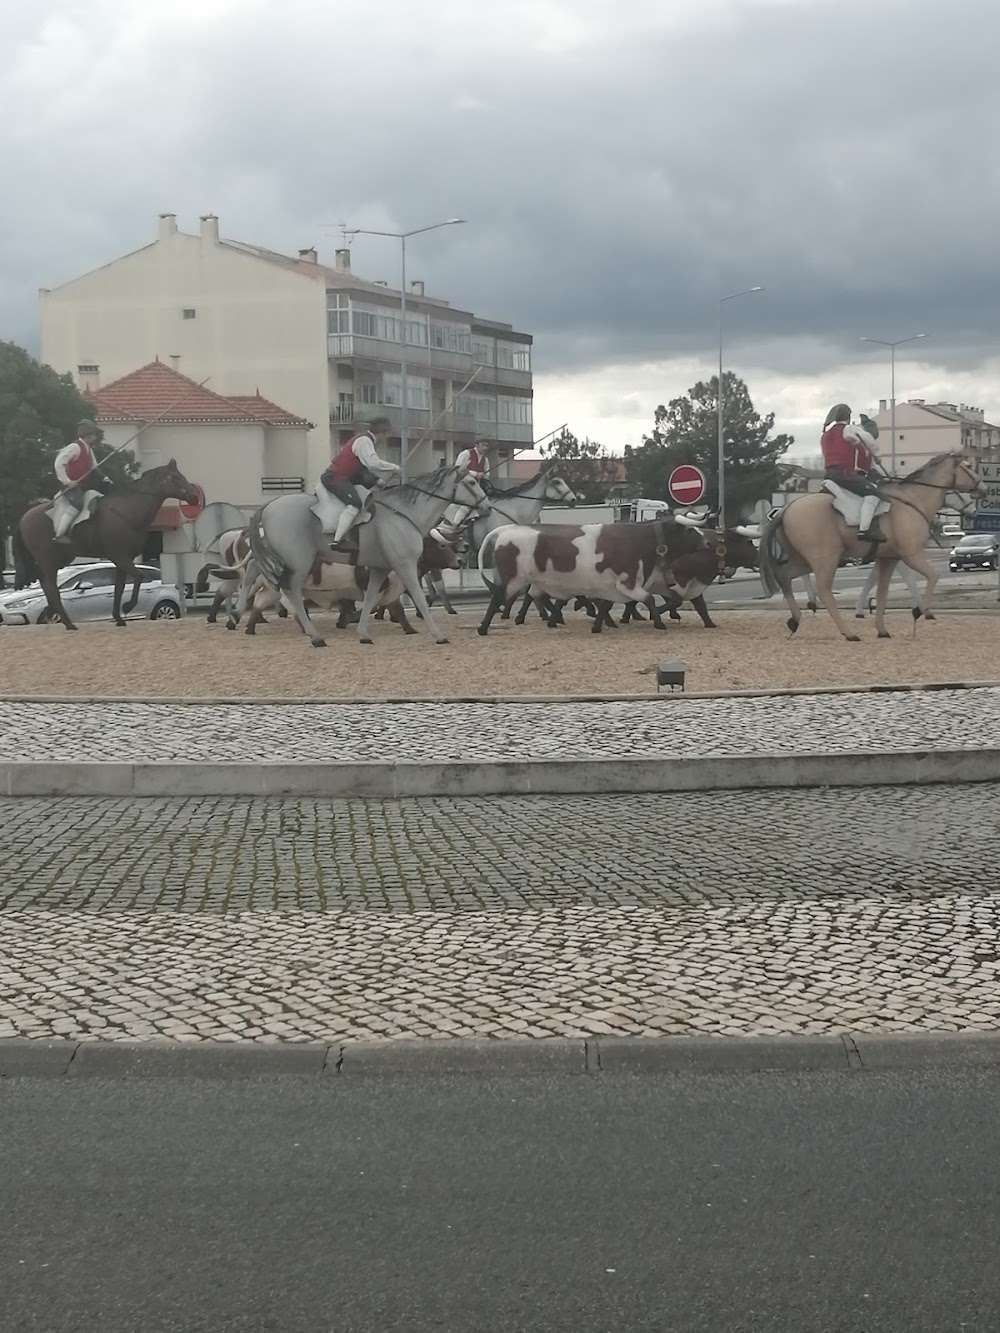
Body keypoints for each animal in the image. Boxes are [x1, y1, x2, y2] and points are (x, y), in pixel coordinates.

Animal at [13, 461, 201, 631]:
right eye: (175, 477)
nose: (194, 497)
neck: (126, 512)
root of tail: (24, 518)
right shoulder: (121, 557)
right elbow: (139, 577)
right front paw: (127, 607)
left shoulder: (122, 561)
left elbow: (119, 588)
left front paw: (118, 618)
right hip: (48, 560)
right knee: (52, 588)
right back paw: (68, 623)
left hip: (58, 560)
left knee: (45, 584)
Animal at [228, 466, 493, 647]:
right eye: (471, 482)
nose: (487, 507)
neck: (403, 513)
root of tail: (269, 506)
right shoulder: (405, 565)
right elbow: (417, 597)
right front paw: (438, 635)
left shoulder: (379, 569)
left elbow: (370, 598)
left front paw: (363, 633)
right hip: (299, 561)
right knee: (289, 590)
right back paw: (314, 636)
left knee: (255, 575)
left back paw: (238, 614)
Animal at [474, 517, 704, 637]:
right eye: (690, 530)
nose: (707, 542)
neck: (640, 541)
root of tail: (507, 530)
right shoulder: (628, 582)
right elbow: (648, 599)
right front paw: (659, 624)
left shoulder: (613, 585)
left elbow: (606, 605)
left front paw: (599, 625)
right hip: (512, 580)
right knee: (497, 599)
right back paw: (483, 628)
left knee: (535, 596)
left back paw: (554, 619)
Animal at [757, 455, 986, 642]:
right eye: (968, 467)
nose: (982, 490)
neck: (912, 501)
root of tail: (786, 509)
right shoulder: (911, 555)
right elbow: (933, 576)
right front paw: (918, 611)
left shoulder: (888, 559)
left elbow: (882, 591)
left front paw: (882, 629)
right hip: (825, 558)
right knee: (823, 590)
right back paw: (848, 633)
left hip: (803, 560)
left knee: (785, 576)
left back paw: (795, 621)